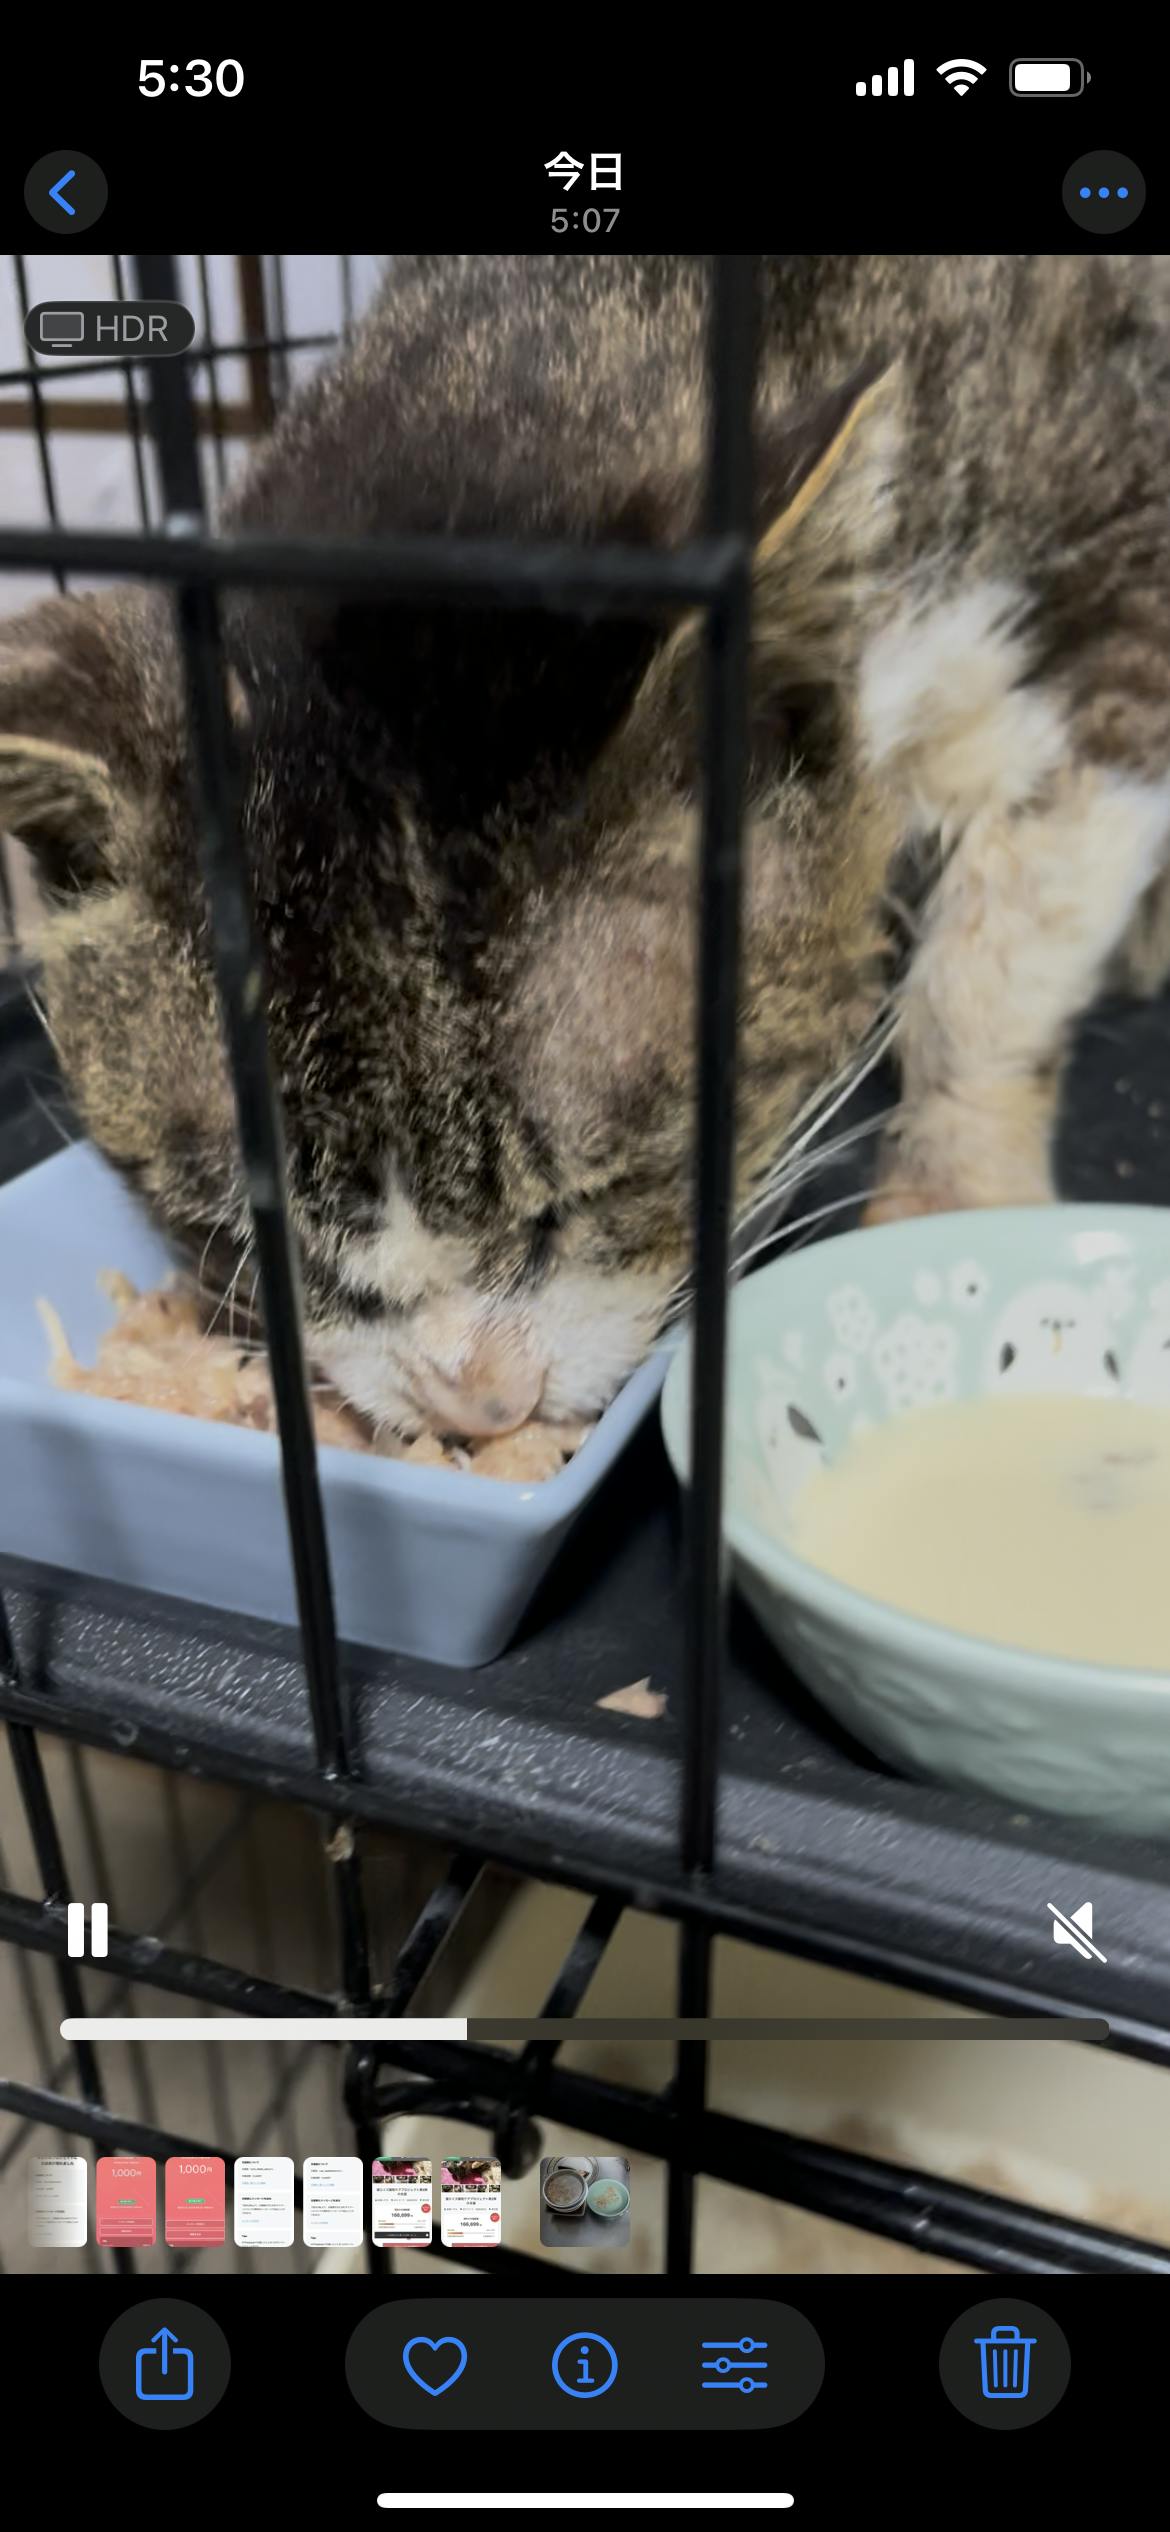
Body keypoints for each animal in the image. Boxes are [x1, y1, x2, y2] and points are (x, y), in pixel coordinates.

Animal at [2, 254, 1170, 1442]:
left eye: (591, 1195)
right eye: (253, 1232)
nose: (481, 1405)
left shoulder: (1121, 573)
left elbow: (1005, 945)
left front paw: (950, 1195)